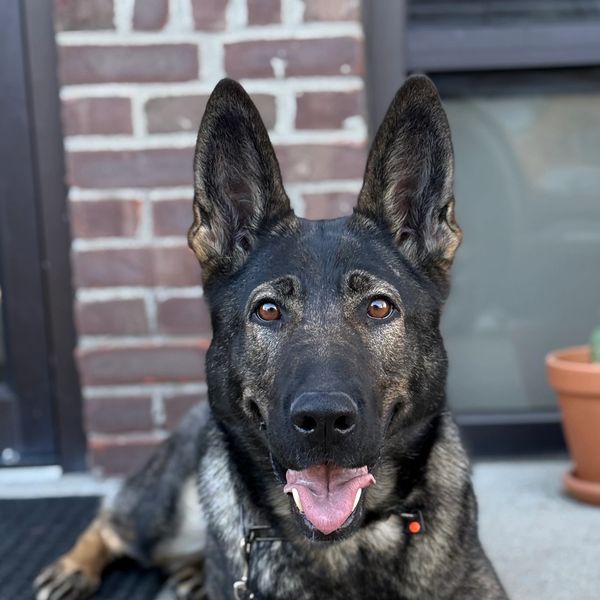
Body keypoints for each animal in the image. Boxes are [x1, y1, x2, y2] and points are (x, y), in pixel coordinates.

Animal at [35, 75, 508, 600]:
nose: (324, 420)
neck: (346, 542)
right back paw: (75, 568)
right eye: (268, 310)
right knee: (113, 520)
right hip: (168, 518)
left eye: (379, 307)